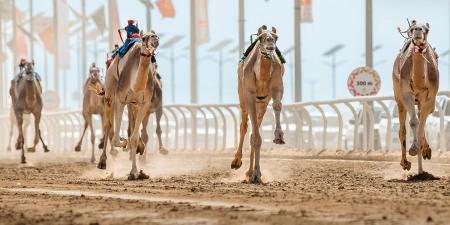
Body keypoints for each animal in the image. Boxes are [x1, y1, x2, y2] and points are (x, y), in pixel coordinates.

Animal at [97, 30, 159, 180]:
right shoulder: (120, 100)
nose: (155, 39)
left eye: (156, 35)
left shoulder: (143, 104)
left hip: (133, 104)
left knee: (131, 127)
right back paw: (103, 162)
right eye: (144, 38)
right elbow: (116, 138)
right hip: (109, 93)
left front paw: (134, 172)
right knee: (108, 126)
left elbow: (134, 138)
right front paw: (124, 143)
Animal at [232, 25, 284, 185]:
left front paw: (279, 136)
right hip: (242, 98)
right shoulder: (249, 94)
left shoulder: (277, 87)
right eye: (261, 37)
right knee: (244, 126)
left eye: (276, 37)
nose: (270, 46)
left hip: (261, 103)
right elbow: (255, 136)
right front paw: (255, 174)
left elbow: (278, 105)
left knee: (254, 129)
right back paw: (237, 162)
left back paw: (249, 172)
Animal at [394, 20, 440, 174]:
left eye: (427, 29)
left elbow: (421, 123)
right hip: (398, 95)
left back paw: (424, 155)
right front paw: (414, 149)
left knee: (421, 119)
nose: (418, 31)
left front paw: (424, 150)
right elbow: (414, 122)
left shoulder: (430, 98)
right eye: (412, 29)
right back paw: (406, 163)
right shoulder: (406, 93)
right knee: (402, 129)